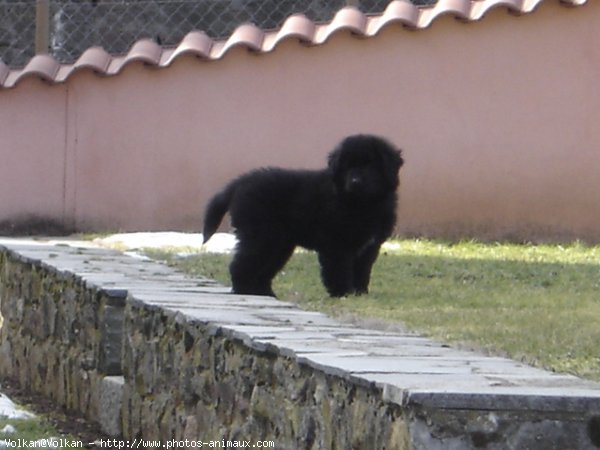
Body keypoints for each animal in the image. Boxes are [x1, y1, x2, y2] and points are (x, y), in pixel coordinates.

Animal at [202, 135, 404, 300]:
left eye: (370, 164)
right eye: (347, 167)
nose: (355, 182)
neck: (363, 204)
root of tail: (238, 183)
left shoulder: (369, 247)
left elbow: (362, 271)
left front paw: (360, 293)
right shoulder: (337, 245)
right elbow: (338, 270)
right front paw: (342, 293)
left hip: (279, 244)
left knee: (264, 270)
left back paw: (266, 293)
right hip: (260, 236)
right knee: (242, 263)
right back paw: (243, 290)